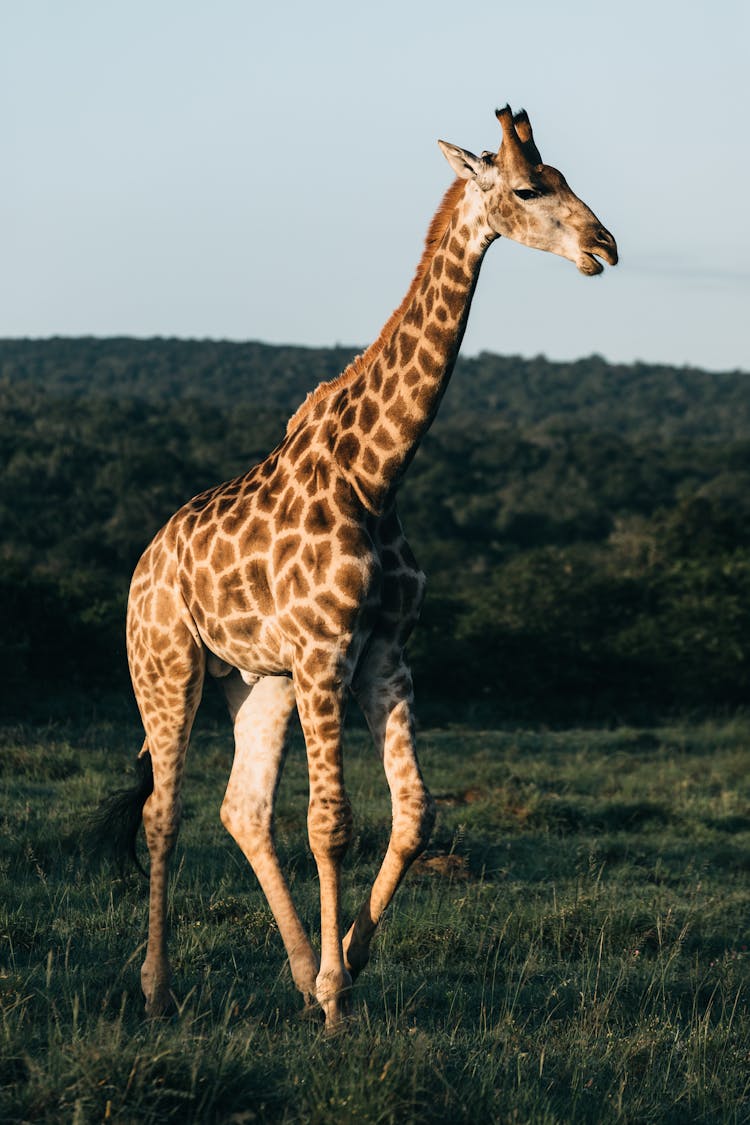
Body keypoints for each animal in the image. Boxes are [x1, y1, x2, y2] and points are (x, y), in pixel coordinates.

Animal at [106, 105, 620, 1030]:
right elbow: (333, 823)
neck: (377, 473)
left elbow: (413, 814)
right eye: (531, 188)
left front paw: (344, 962)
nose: (606, 244)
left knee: (241, 807)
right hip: (167, 666)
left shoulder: (384, 649)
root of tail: (145, 562)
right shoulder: (325, 652)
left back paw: (296, 966)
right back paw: (159, 988)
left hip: (258, 680)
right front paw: (339, 996)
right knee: (165, 810)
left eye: (564, 176)